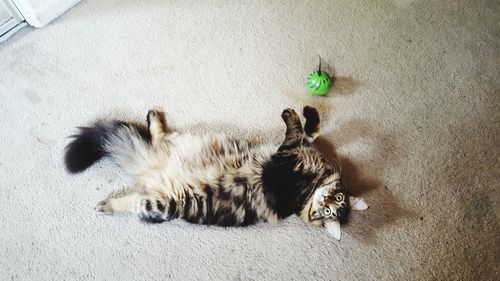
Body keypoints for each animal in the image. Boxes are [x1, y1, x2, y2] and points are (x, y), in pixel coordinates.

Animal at [63, 105, 368, 238]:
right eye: (337, 199)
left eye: (331, 210)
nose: (327, 200)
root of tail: (152, 170)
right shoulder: (292, 154)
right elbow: (311, 130)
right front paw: (307, 112)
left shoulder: (283, 162)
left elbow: (296, 131)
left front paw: (292, 115)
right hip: (181, 142)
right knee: (160, 136)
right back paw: (154, 116)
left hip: (164, 203)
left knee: (133, 203)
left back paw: (106, 206)